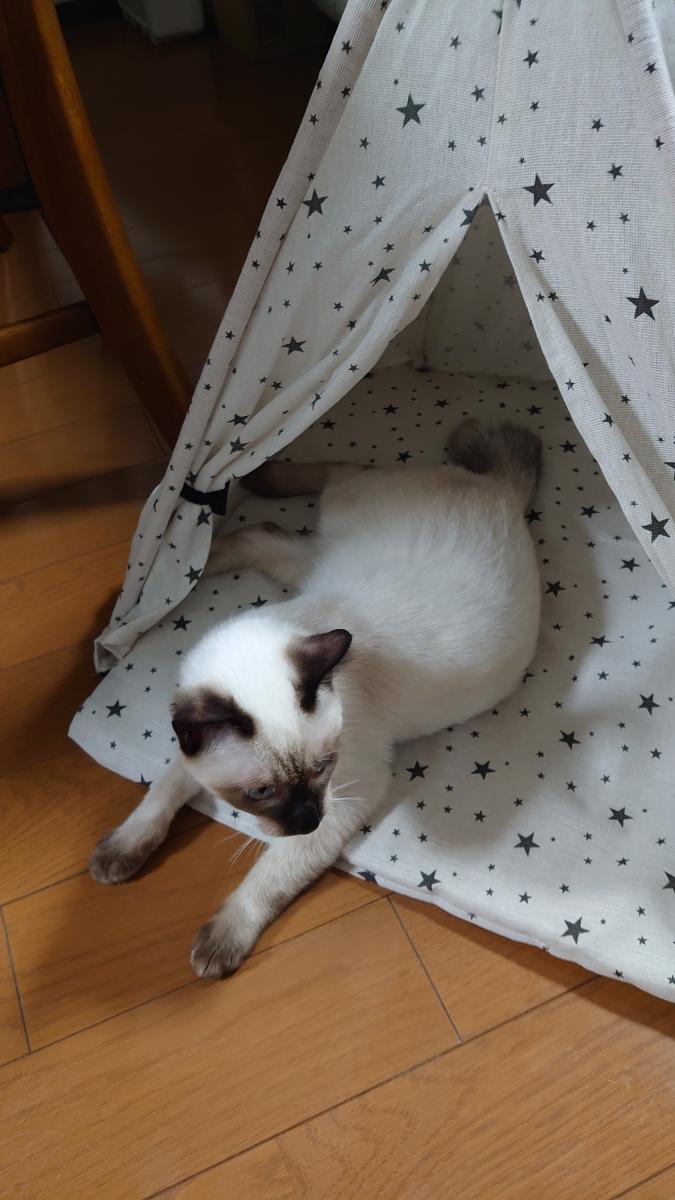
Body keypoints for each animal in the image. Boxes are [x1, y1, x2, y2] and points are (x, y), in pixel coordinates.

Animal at [89, 417, 542, 978]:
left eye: (324, 766)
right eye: (260, 792)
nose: (308, 819)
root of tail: (503, 492)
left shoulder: (346, 793)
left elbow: (270, 875)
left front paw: (220, 943)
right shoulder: (195, 749)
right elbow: (161, 795)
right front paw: (120, 853)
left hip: (332, 531)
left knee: (338, 473)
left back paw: (240, 503)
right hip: (314, 559)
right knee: (270, 528)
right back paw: (175, 576)